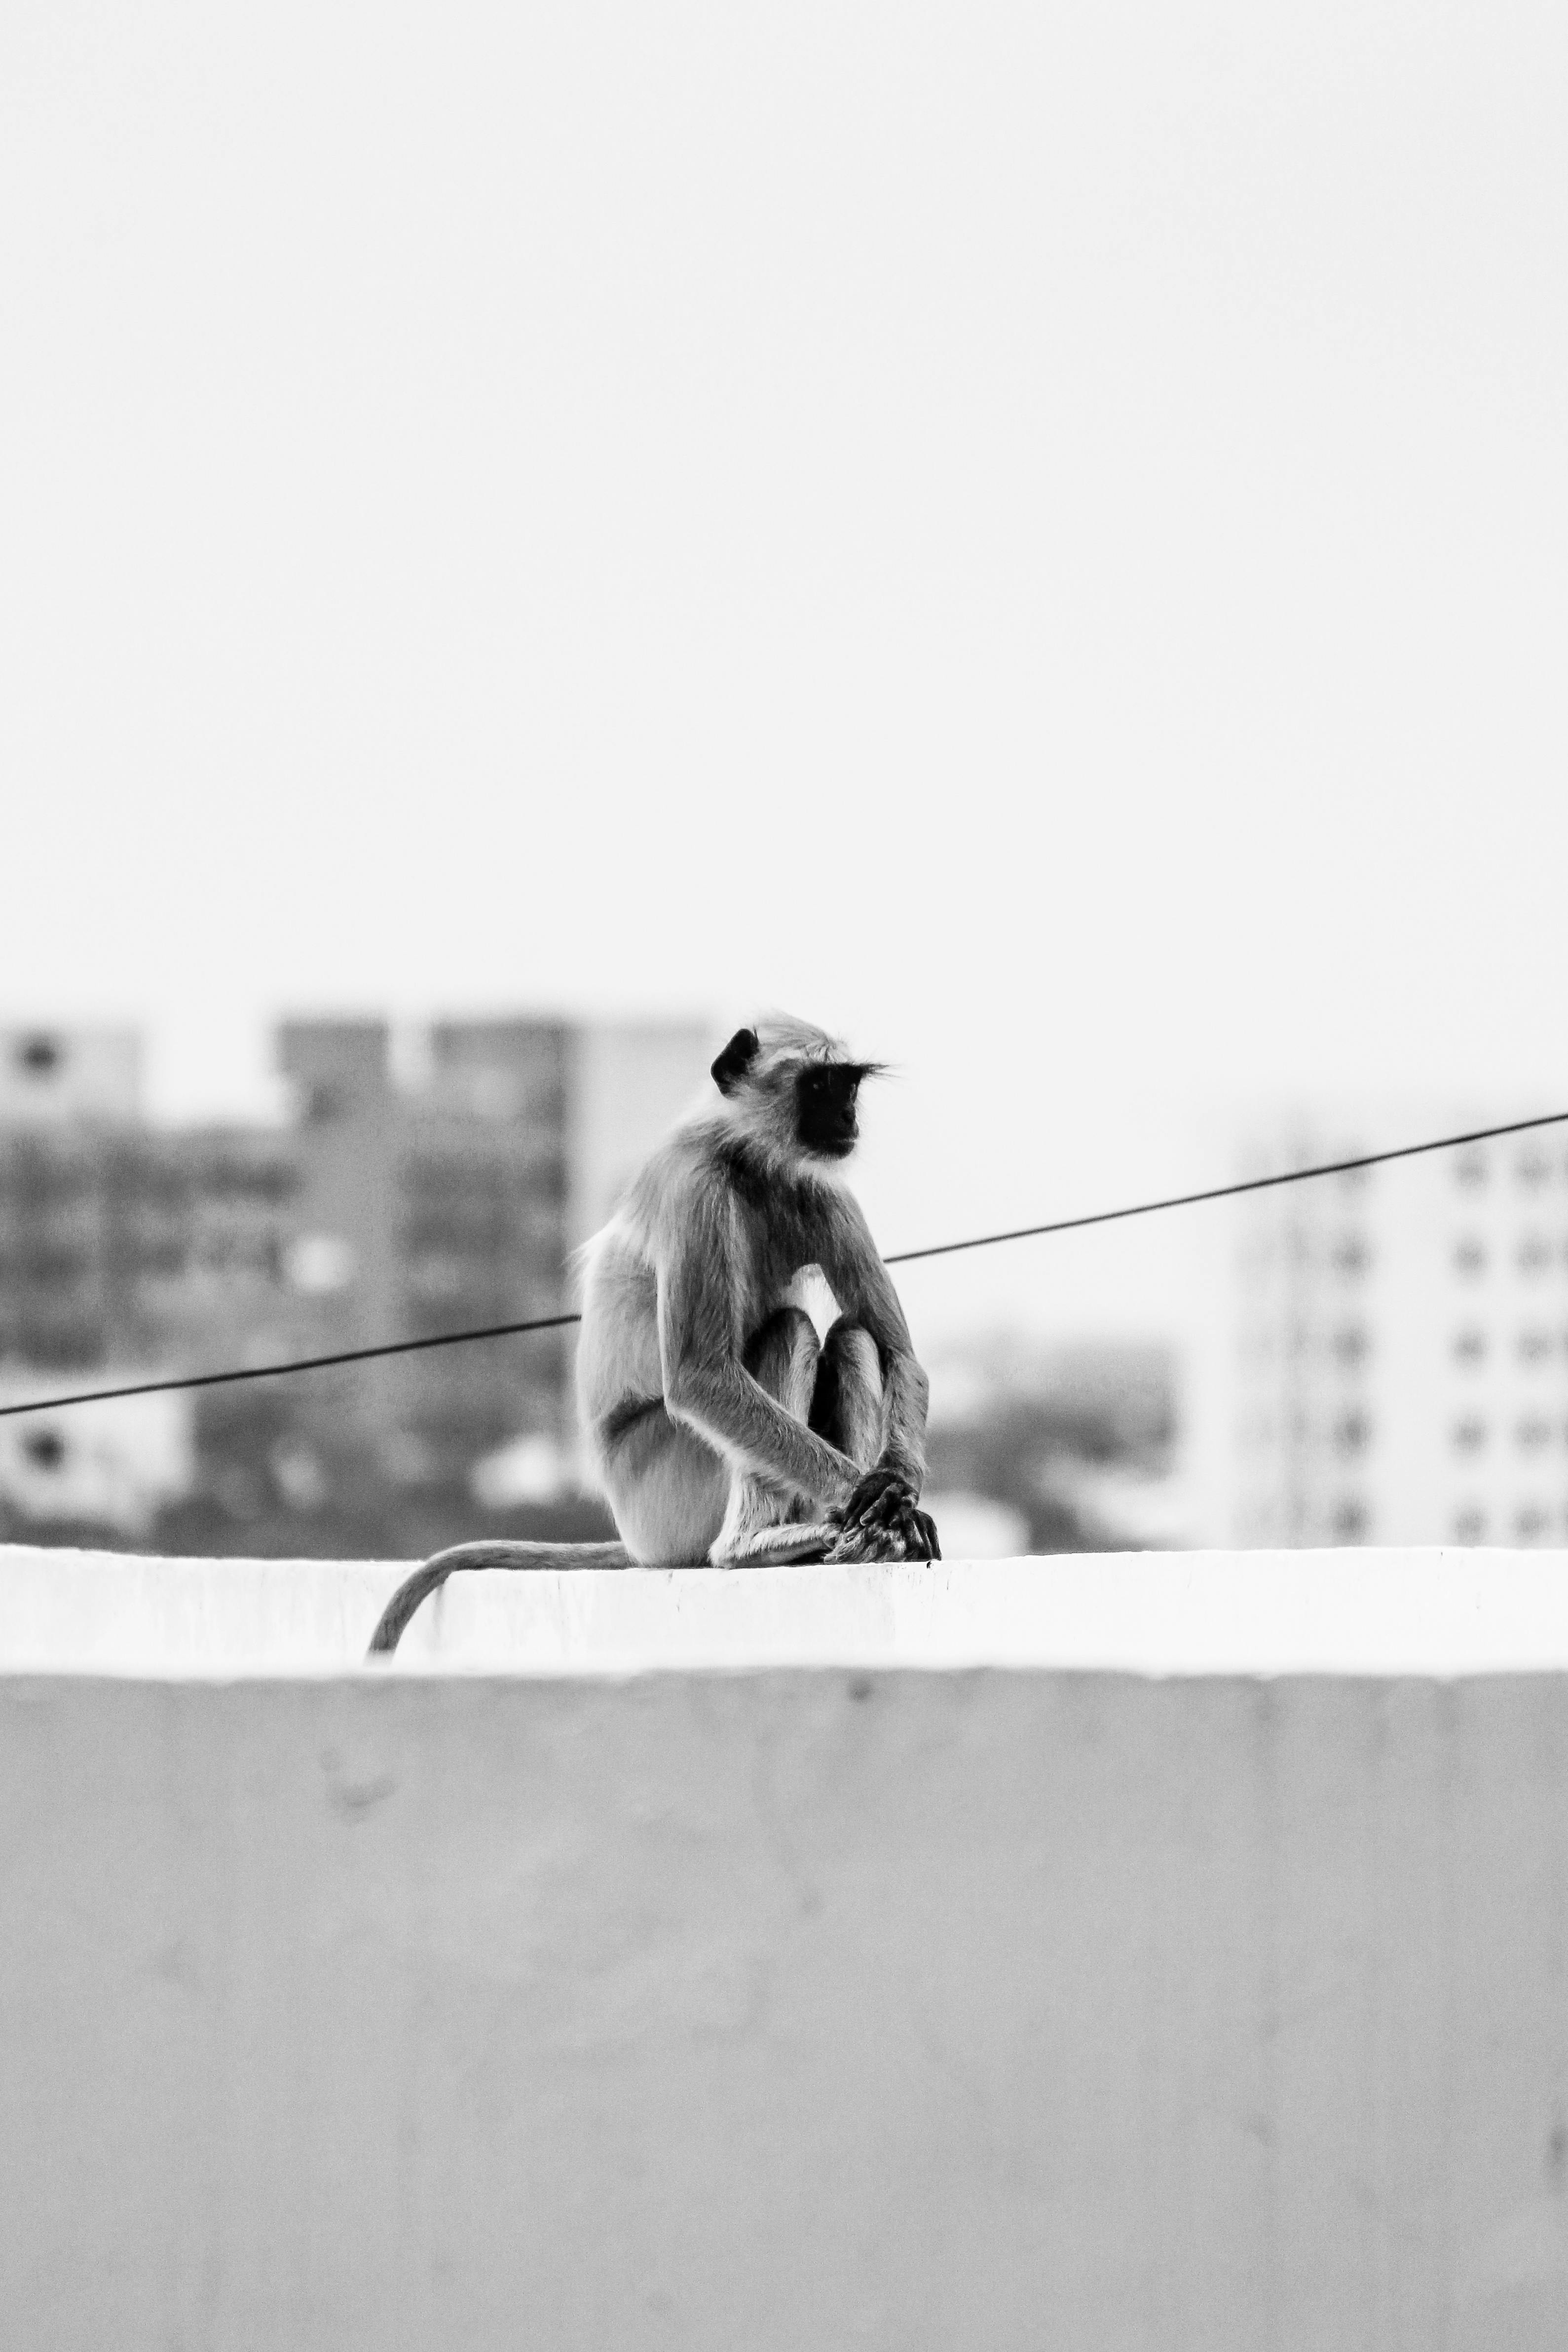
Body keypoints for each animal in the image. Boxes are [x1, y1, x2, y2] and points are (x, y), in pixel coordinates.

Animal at [366, 1015, 939, 1655]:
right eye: (818, 1087)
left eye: (847, 1086)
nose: (847, 1117)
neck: (747, 1163)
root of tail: (637, 1540)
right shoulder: (695, 1191)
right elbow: (699, 1379)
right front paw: (878, 1498)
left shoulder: (820, 1187)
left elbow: (900, 1355)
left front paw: (891, 1492)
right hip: (665, 1488)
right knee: (790, 1330)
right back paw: (748, 1548)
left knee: (854, 1337)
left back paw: (863, 1538)